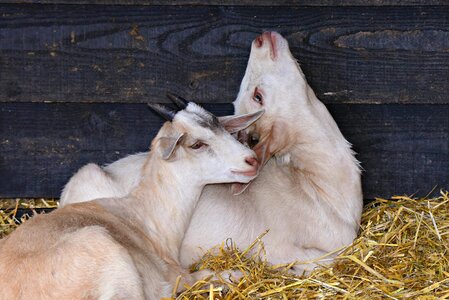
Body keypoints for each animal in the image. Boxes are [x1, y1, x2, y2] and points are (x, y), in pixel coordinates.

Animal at [0, 102, 262, 298]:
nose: (252, 160)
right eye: (197, 144)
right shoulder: (177, 275)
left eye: (224, 131)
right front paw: (235, 275)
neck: (144, 217)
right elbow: (209, 274)